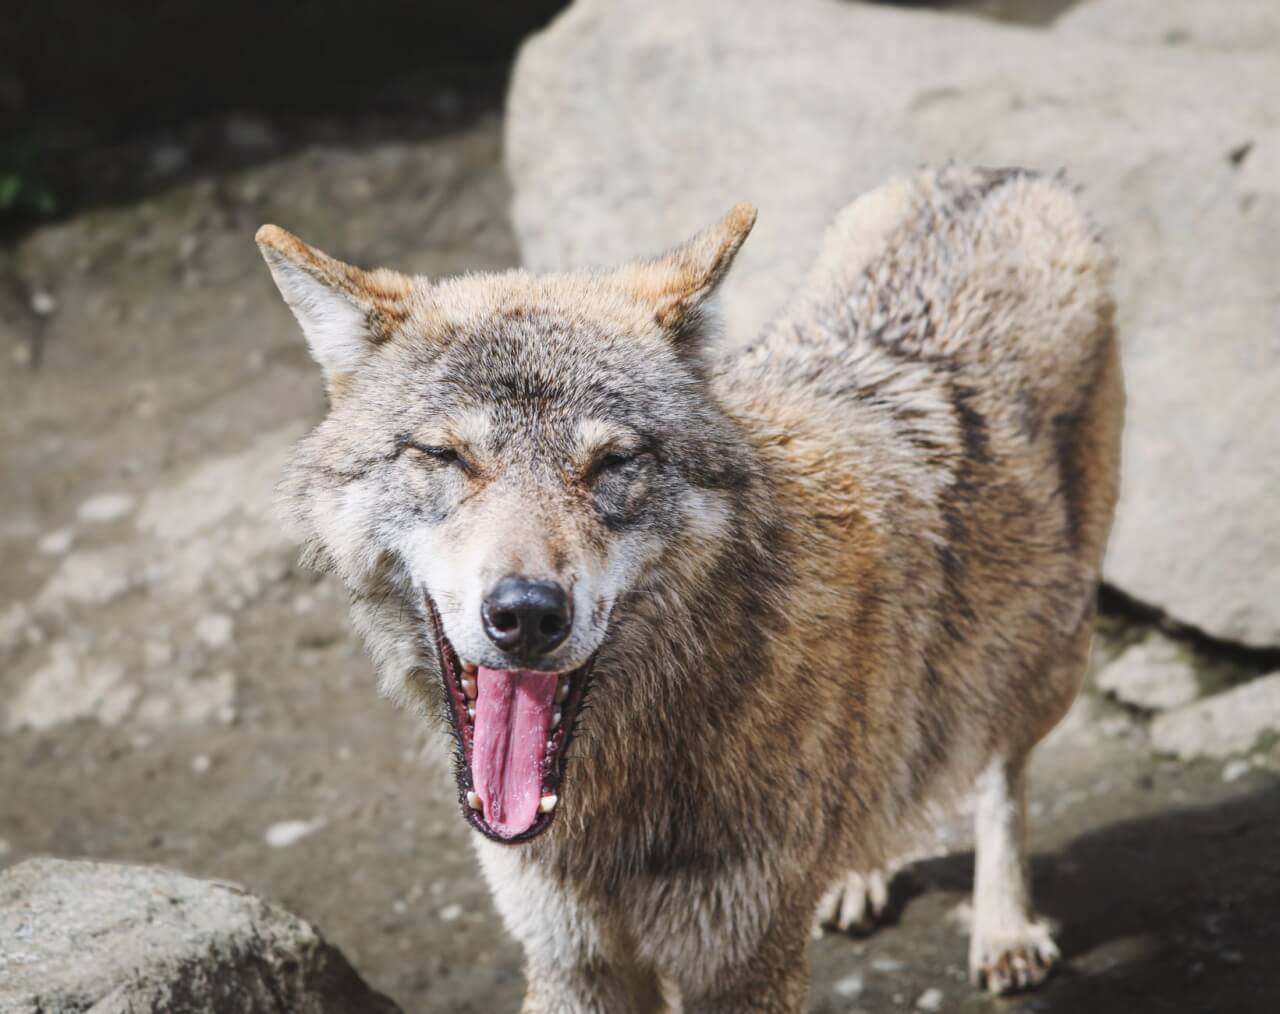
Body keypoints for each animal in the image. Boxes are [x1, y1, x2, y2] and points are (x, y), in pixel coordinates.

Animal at [256, 166, 1123, 1012]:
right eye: (446, 456)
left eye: (612, 462)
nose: (527, 614)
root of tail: (998, 174)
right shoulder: (573, 961)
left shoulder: (744, 964)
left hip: (1046, 657)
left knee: (999, 771)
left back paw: (1003, 928)